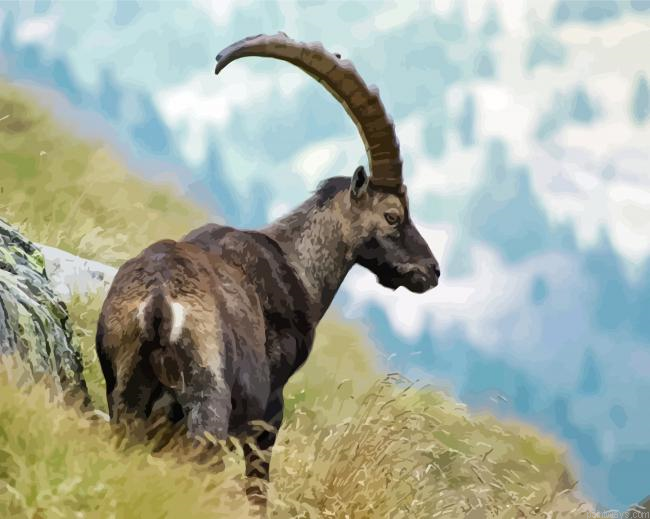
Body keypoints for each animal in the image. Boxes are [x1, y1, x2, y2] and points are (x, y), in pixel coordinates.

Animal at [96, 33, 440, 515]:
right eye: (393, 215)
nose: (431, 271)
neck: (298, 266)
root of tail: (160, 303)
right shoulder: (269, 413)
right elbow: (257, 489)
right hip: (207, 399)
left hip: (125, 387)